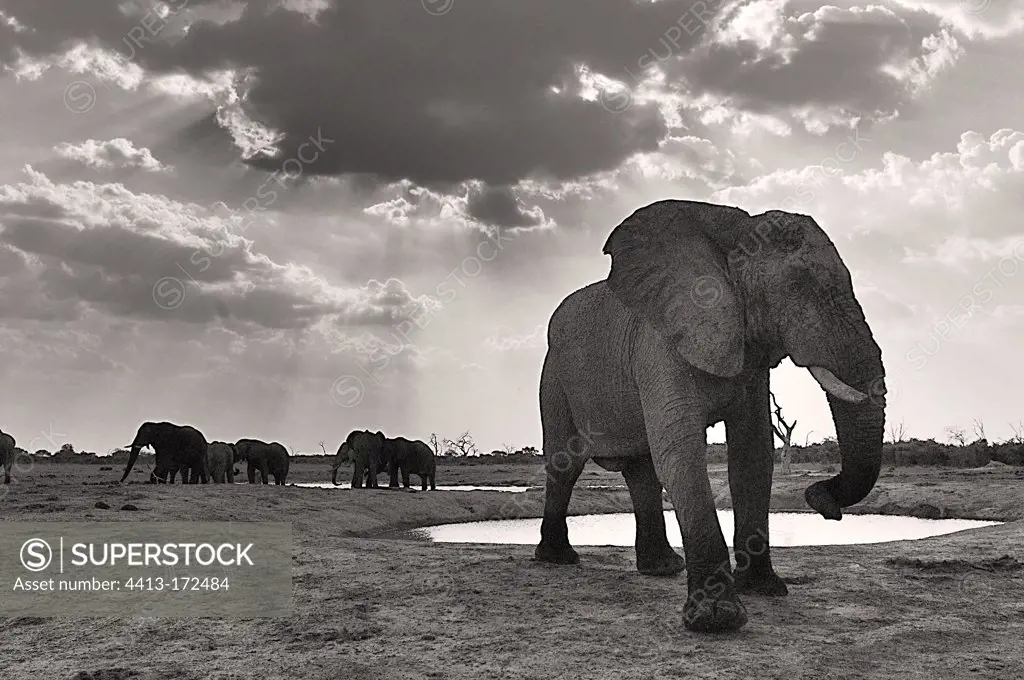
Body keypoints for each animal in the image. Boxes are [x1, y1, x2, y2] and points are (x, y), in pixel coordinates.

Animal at [536, 200, 888, 630]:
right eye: (797, 286)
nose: (822, 500)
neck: (735, 233)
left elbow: (752, 453)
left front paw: (765, 589)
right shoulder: (661, 341)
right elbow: (682, 451)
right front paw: (716, 621)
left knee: (641, 471)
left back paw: (662, 568)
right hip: (554, 376)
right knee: (565, 462)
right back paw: (558, 560)